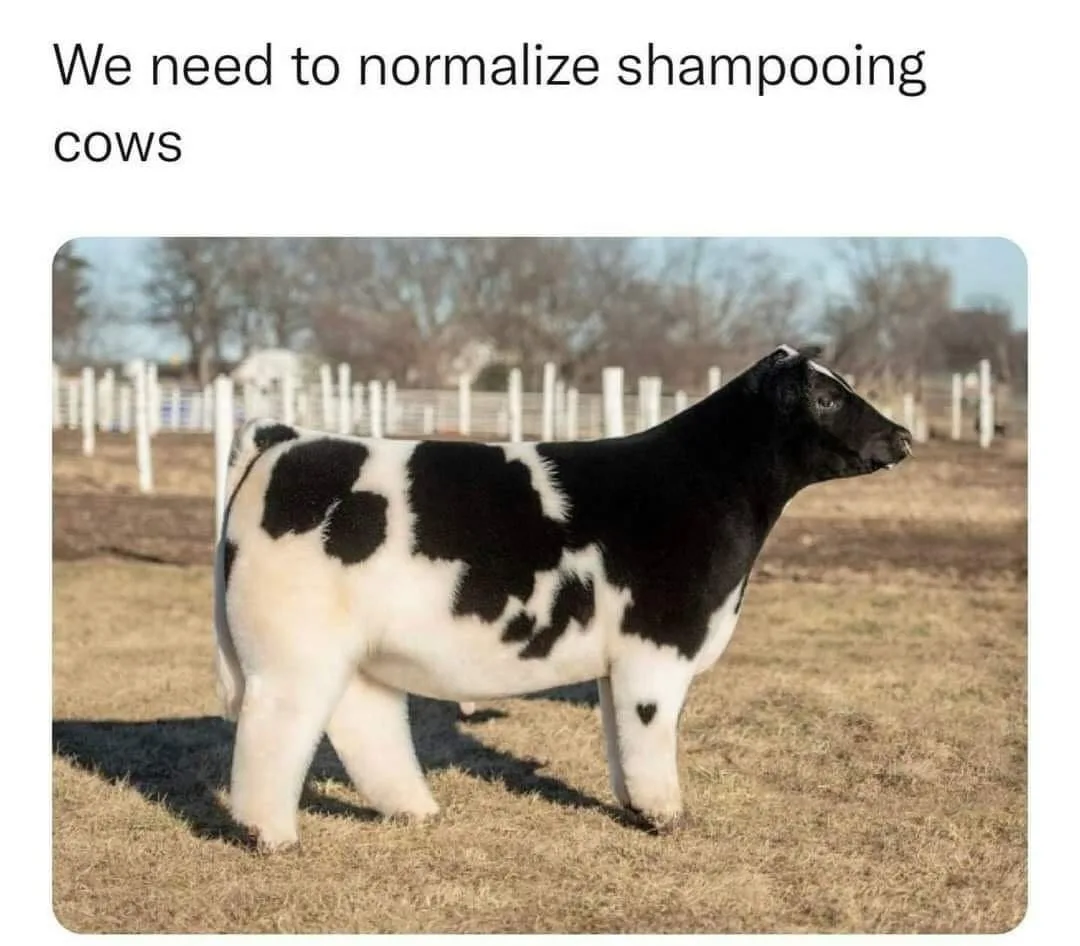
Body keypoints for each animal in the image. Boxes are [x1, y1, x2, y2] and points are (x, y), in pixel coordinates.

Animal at [213, 344, 912, 851]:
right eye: (826, 396)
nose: (903, 436)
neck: (700, 486)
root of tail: (288, 437)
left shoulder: (619, 662)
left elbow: (620, 738)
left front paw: (633, 808)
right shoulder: (657, 647)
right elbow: (651, 735)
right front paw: (666, 817)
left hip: (356, 651)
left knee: (364, 721)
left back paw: (416, 810)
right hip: (292, 650)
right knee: (276, 728)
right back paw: (271, 836)